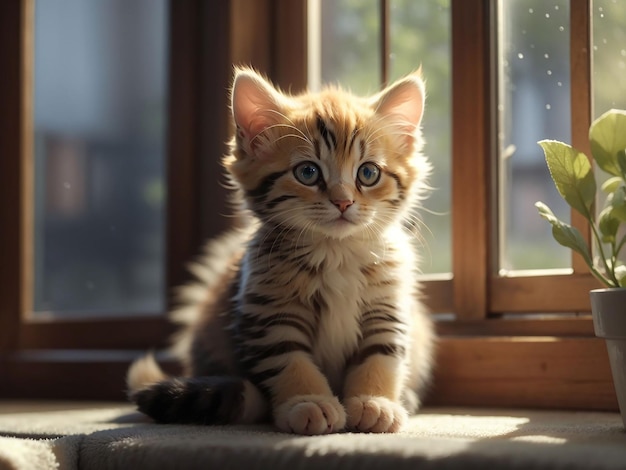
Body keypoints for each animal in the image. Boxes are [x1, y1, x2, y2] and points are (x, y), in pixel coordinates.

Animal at [127, 66, 434, 434]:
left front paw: (375, 402)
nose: (343, 202)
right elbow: (291, 362)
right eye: (308, 172)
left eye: (369, 173)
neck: (336, 252)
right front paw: (308, 402)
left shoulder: (387, 308)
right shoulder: (271, 313)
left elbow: (380, 357)